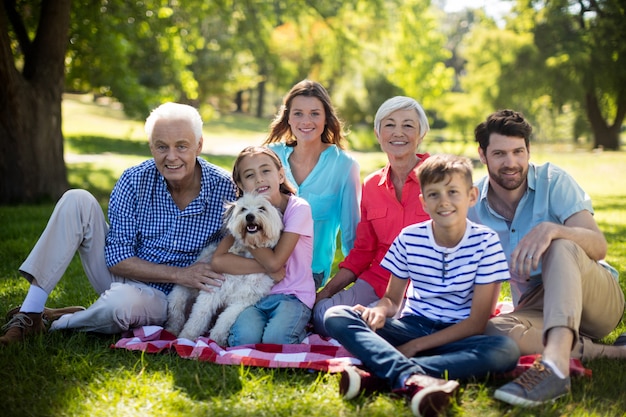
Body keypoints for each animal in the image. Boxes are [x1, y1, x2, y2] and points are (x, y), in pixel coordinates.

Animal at [166, 192, 282, 344]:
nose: (249, 216)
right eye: (243, 209)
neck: (244, 260)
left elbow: (225, 320)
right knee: (176, 314)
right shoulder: (212, 291)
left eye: (262, 208)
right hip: (179, 295)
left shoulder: (243, 300)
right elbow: (198, 318)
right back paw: (172, 331)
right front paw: (187, 337)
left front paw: (216, 340)